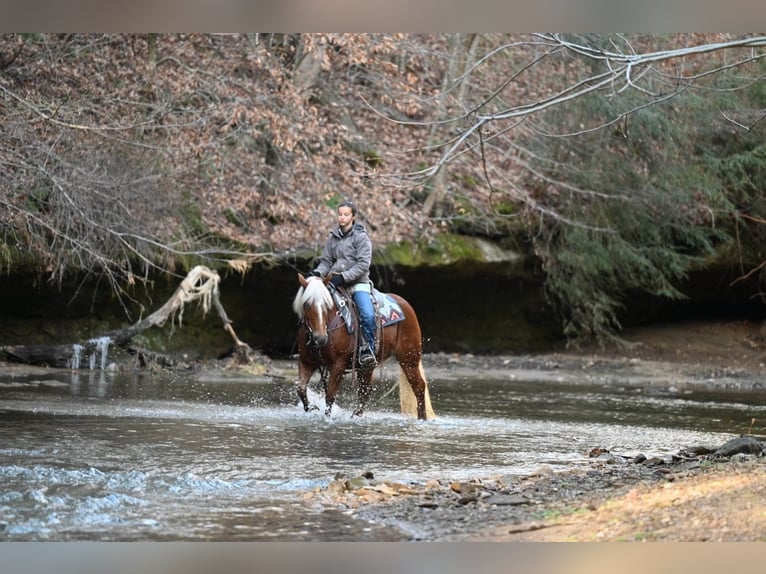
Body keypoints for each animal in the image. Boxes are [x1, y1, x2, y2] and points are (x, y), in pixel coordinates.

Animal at [294, 272, 438, 420]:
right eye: (307, 305)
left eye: (327, 304)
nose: (320, 338)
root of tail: (406, 305)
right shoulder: (306, 362)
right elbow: (301, 389)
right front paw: (311, 408)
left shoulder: (338, 364)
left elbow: (330, 396)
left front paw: (327, 417)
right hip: (369, 365)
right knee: (365, 391)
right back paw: (356, 415)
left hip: (409, 360)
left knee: (419, 386)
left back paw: (422, 418)